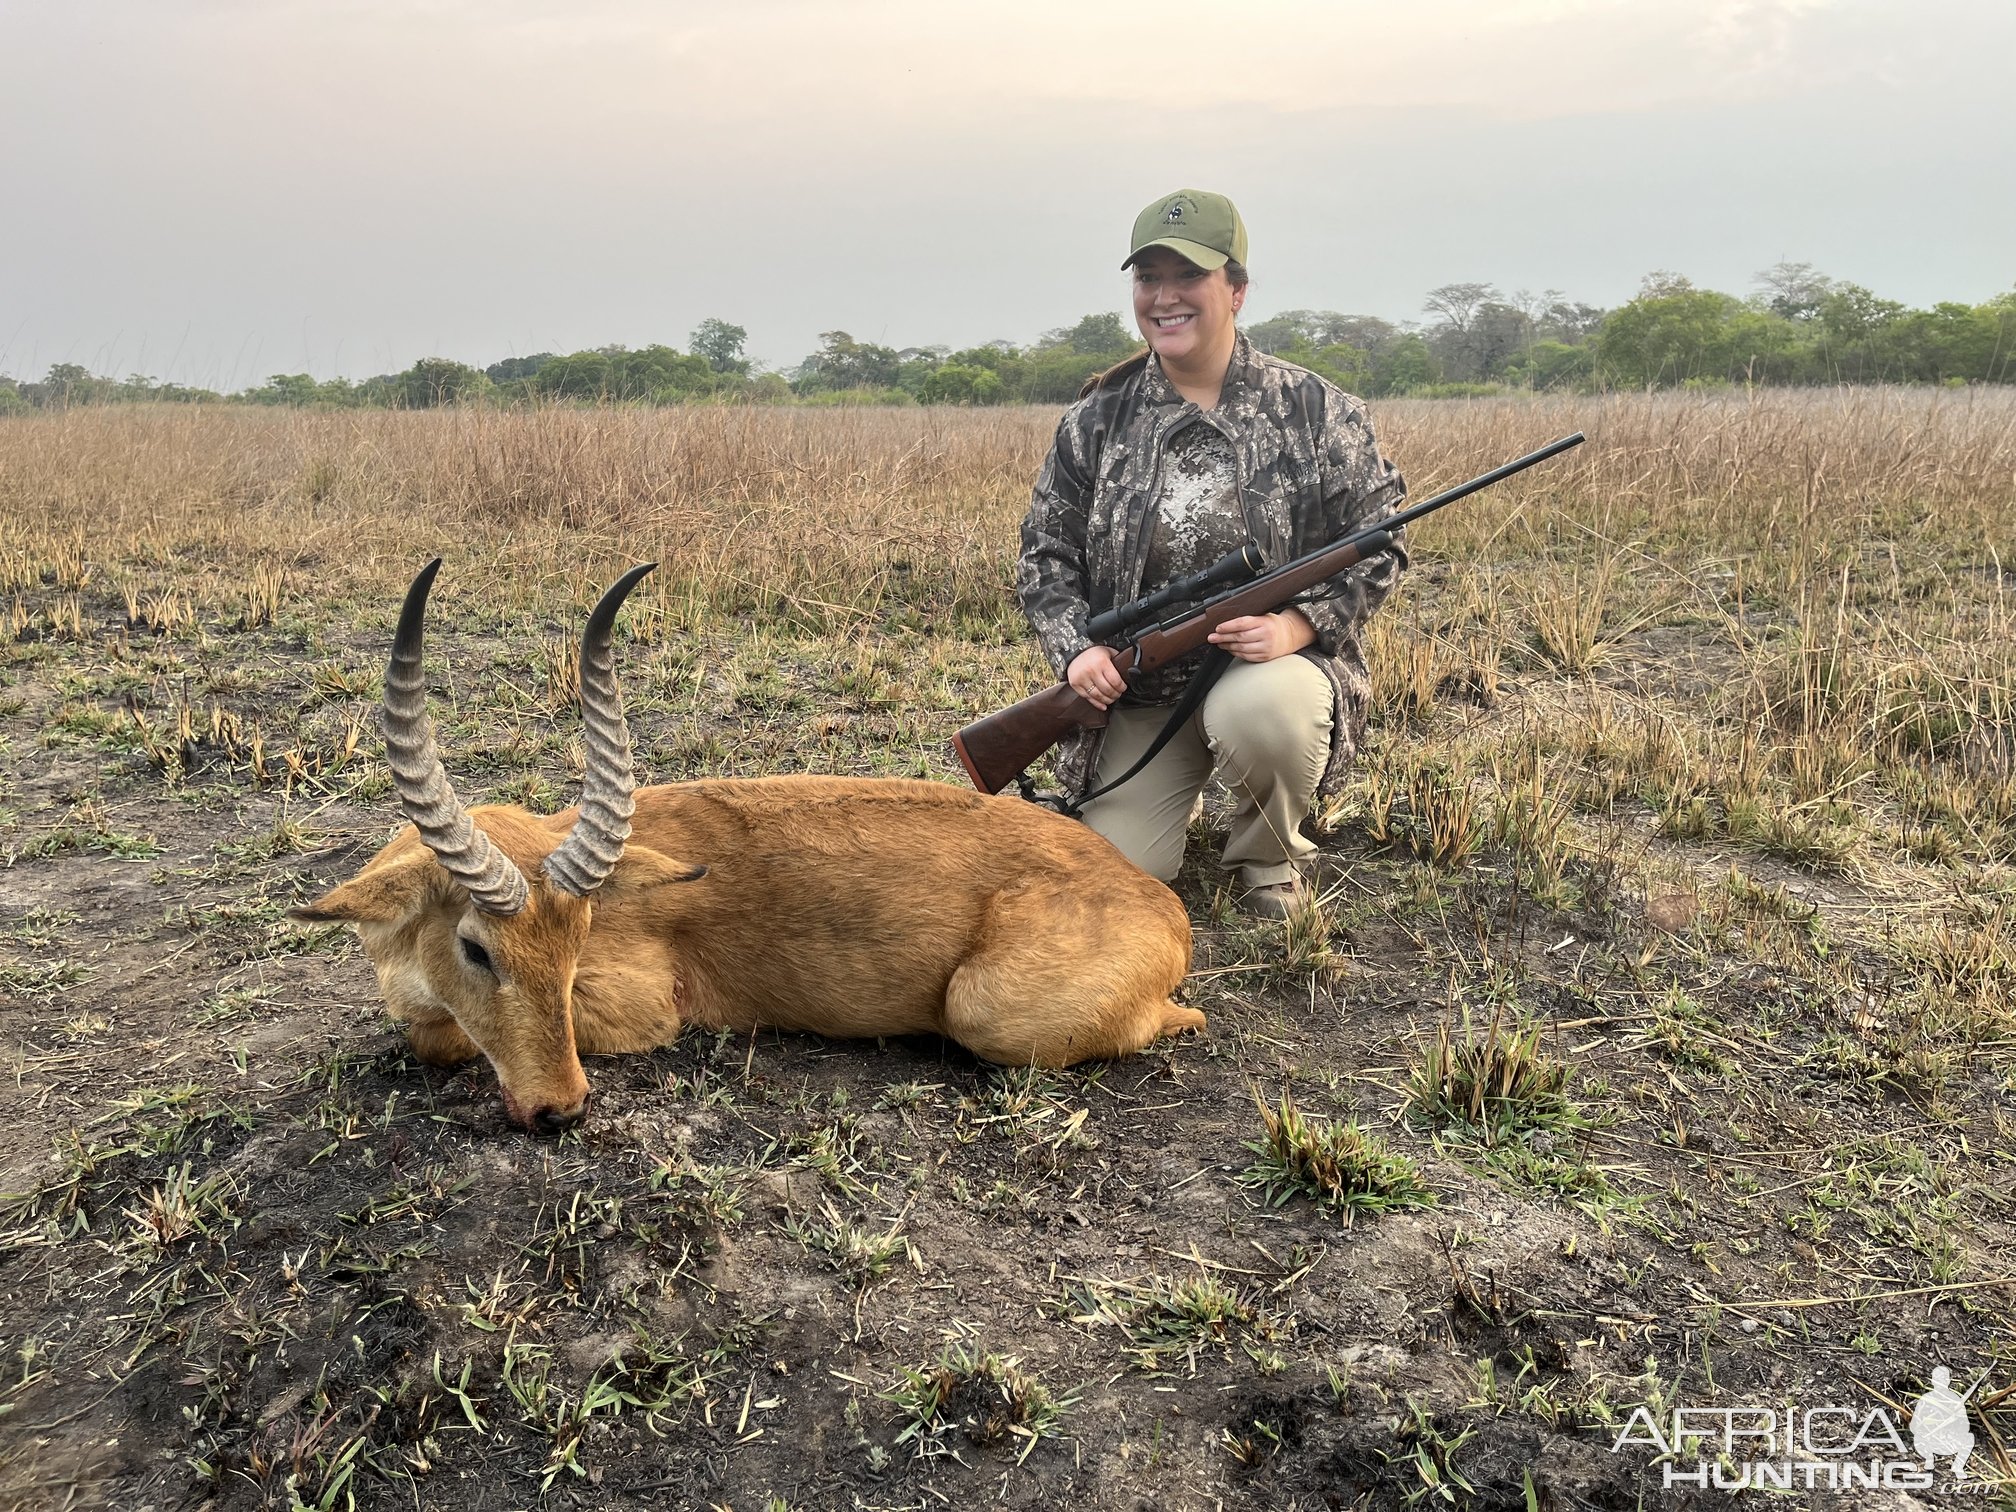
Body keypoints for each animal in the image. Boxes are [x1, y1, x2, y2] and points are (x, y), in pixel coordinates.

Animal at [292, 564, 1201, 1128]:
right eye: (477, 948)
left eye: (578, 942)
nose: (561, 1110)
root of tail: (1159, 902)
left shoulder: (645, 1008)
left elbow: (435, 1038)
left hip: (987, 1011)